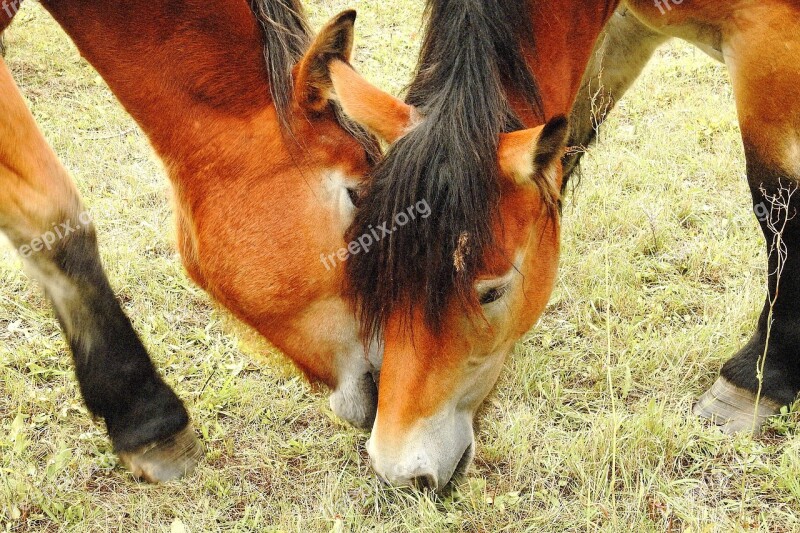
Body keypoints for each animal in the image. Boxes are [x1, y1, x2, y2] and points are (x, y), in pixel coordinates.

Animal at [324, 0, 800, 488]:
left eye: (491, 293)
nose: (400, 471)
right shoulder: (622, 33)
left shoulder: (768, 46)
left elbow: (780, 210)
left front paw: (757, 380)